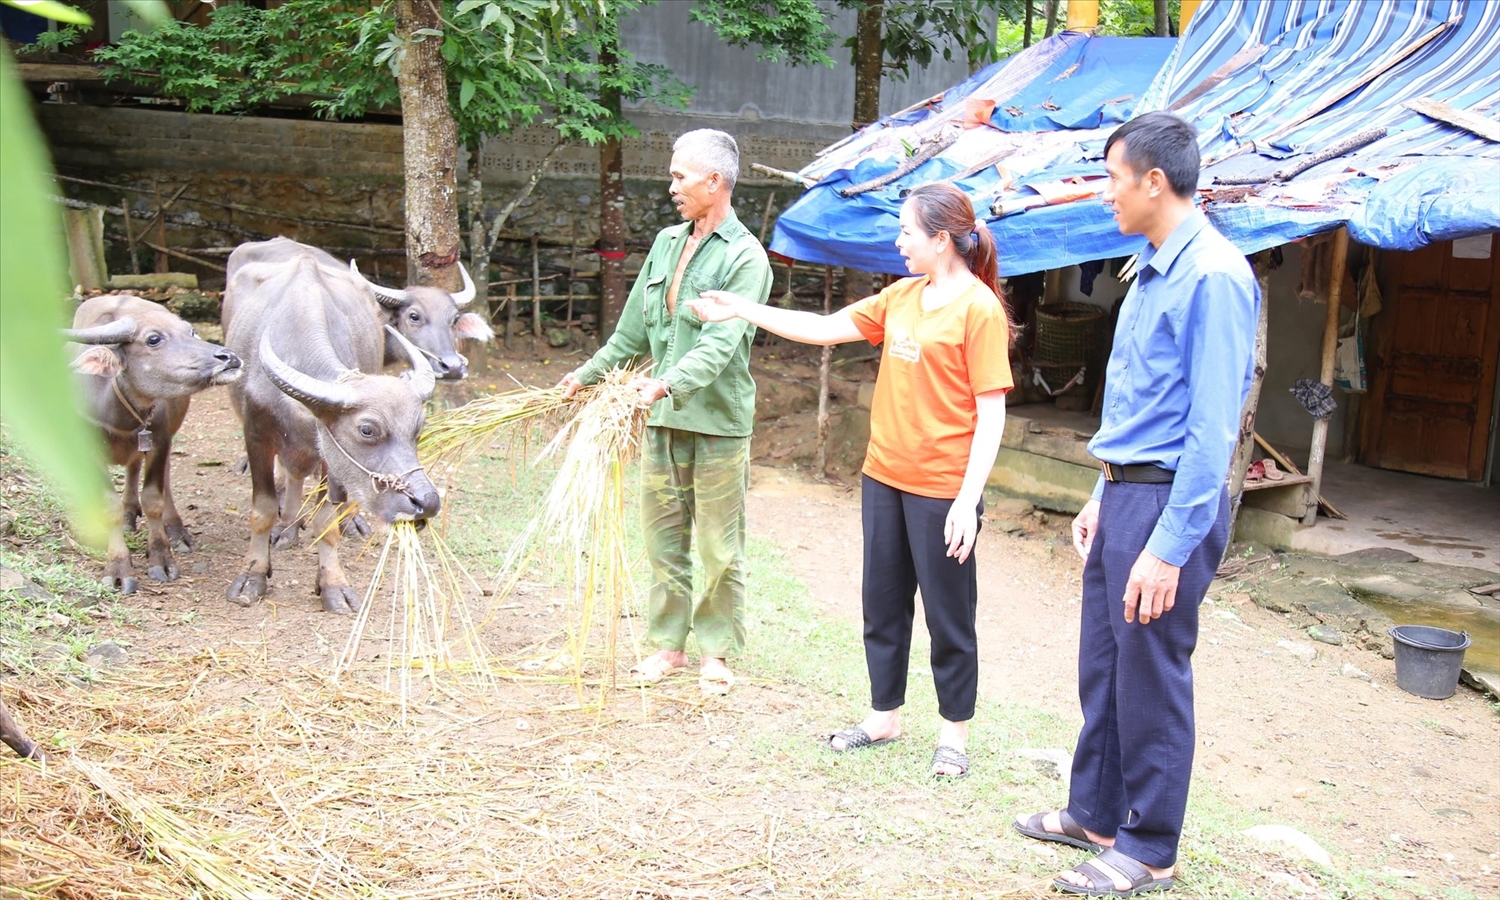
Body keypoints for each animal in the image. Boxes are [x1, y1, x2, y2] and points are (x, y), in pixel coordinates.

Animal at [64, 292, 243, 594]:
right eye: (153, 339)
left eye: (190, 331)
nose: (228, 357)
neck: (121, 418)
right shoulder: (90, 450)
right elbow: (109, 506)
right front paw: (118, 567)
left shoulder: (159, 441)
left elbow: (153, 500)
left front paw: (161, 557)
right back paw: (128, 514)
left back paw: (176, 530)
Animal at [222, 256, 441, 615]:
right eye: (367, 429)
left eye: (418, 429)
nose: (427, 503)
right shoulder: (256, 436)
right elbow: (262, 511)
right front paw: (253, 575)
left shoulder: (329, 457)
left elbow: (326, 522)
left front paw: (332, 585)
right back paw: (287, 528)